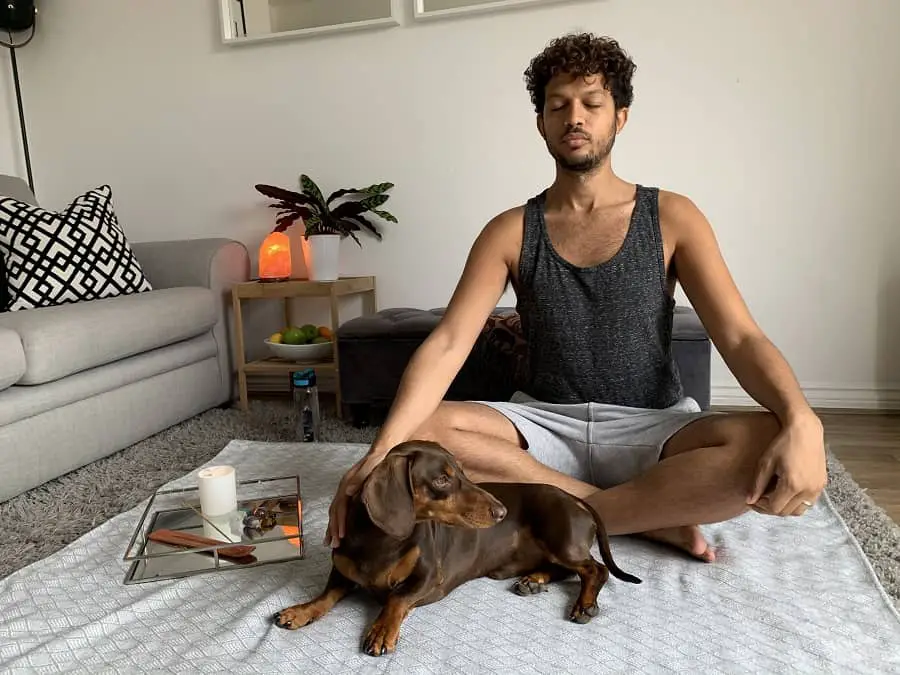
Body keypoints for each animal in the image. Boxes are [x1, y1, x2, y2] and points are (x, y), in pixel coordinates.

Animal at [272, 438, 640, 656]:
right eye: (442, 478)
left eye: (463, 472)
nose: (502, 512)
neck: (382, 541)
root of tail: (578, 500)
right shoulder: (343, 572)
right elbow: (325, 597)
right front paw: (300, 611)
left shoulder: (428, 578)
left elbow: (396, 598)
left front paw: (381, 630)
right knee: (565, 571)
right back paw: (533, 581)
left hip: (561, 540)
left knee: (596, 569)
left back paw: (584, 604)